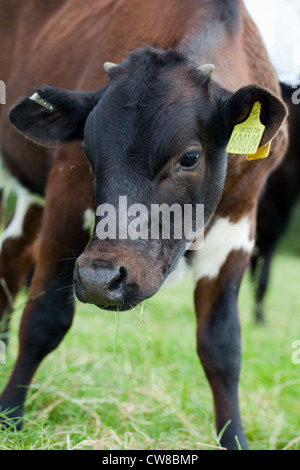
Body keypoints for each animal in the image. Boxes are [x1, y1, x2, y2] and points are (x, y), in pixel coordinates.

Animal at [0, 0, 288, 450]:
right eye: (86, 151)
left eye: (190, 157)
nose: (99, 279)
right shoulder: (65, 198)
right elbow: (45, 317)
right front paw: (10, 414)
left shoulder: (241, 223)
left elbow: (222, 344)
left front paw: (236, 439)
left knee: (13, 253)